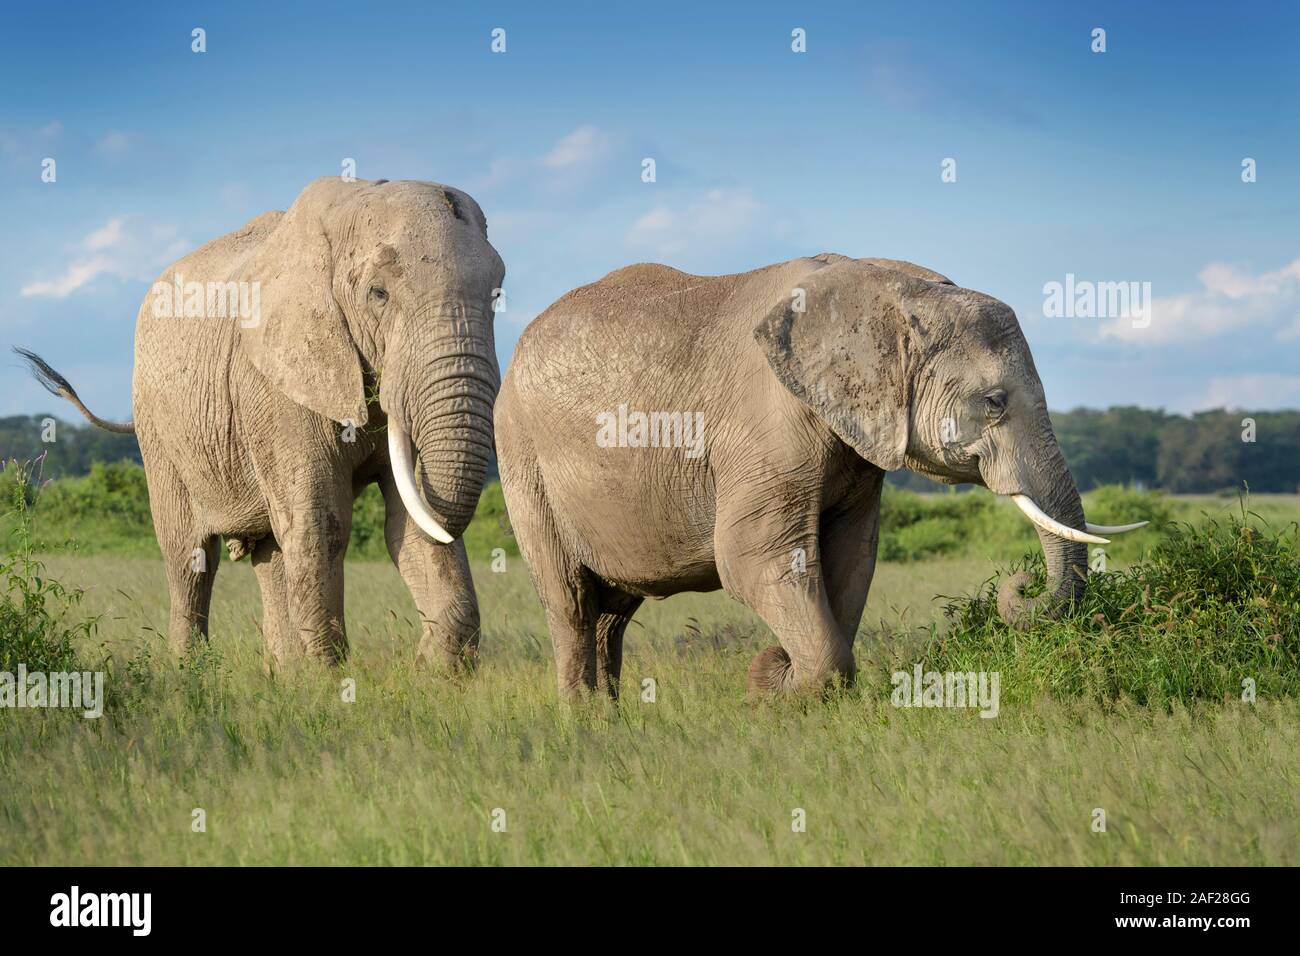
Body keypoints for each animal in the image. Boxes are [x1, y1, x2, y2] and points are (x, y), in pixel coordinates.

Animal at [21, 175, 506, 671]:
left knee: (269, 551)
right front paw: (331, 678)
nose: (417, 653)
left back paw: (285, 673)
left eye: (498, 296)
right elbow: (321, 521)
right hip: (156, 426)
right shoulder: (272, 383)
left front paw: (433, 671)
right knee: (189, 554)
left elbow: (407, 519)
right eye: (378, 294)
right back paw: (190, 672)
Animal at [496, 254, 1149, 702]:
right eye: (994, 402)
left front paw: (779, 679)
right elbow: (754, 556)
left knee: (612, 611)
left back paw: (612, 717)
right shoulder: (765, 423)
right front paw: (773, 683)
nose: (1022, 582)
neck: (892, 287)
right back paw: (585, 721)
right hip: (523, 461)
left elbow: (850, 556)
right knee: (570, 601)